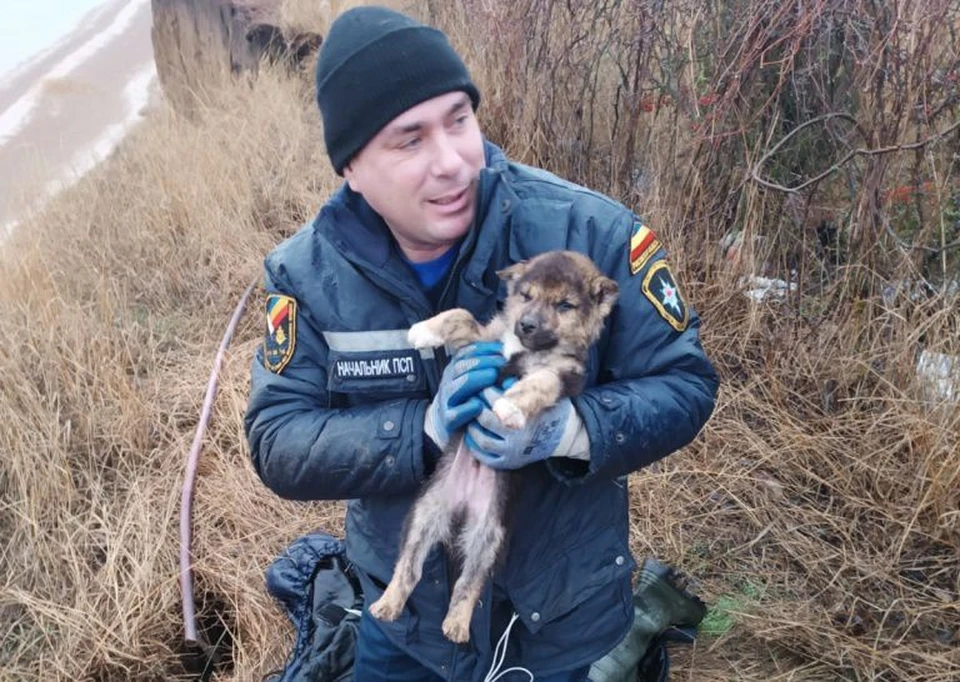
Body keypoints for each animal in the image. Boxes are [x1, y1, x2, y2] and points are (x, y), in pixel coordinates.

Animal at [368, 247, 616, 640]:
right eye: (525, 295)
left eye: (565, 305)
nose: (526, 325)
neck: (524, 349)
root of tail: (462, 507)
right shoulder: (482, 342)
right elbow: (460, 314)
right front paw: (423, 330)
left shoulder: (563, 377)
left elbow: (538, 383)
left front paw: (510, 406)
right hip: (424, 515)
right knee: (409, 567)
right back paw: (388, 603)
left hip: (489, 537)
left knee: (469, 583)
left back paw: (456, 625)